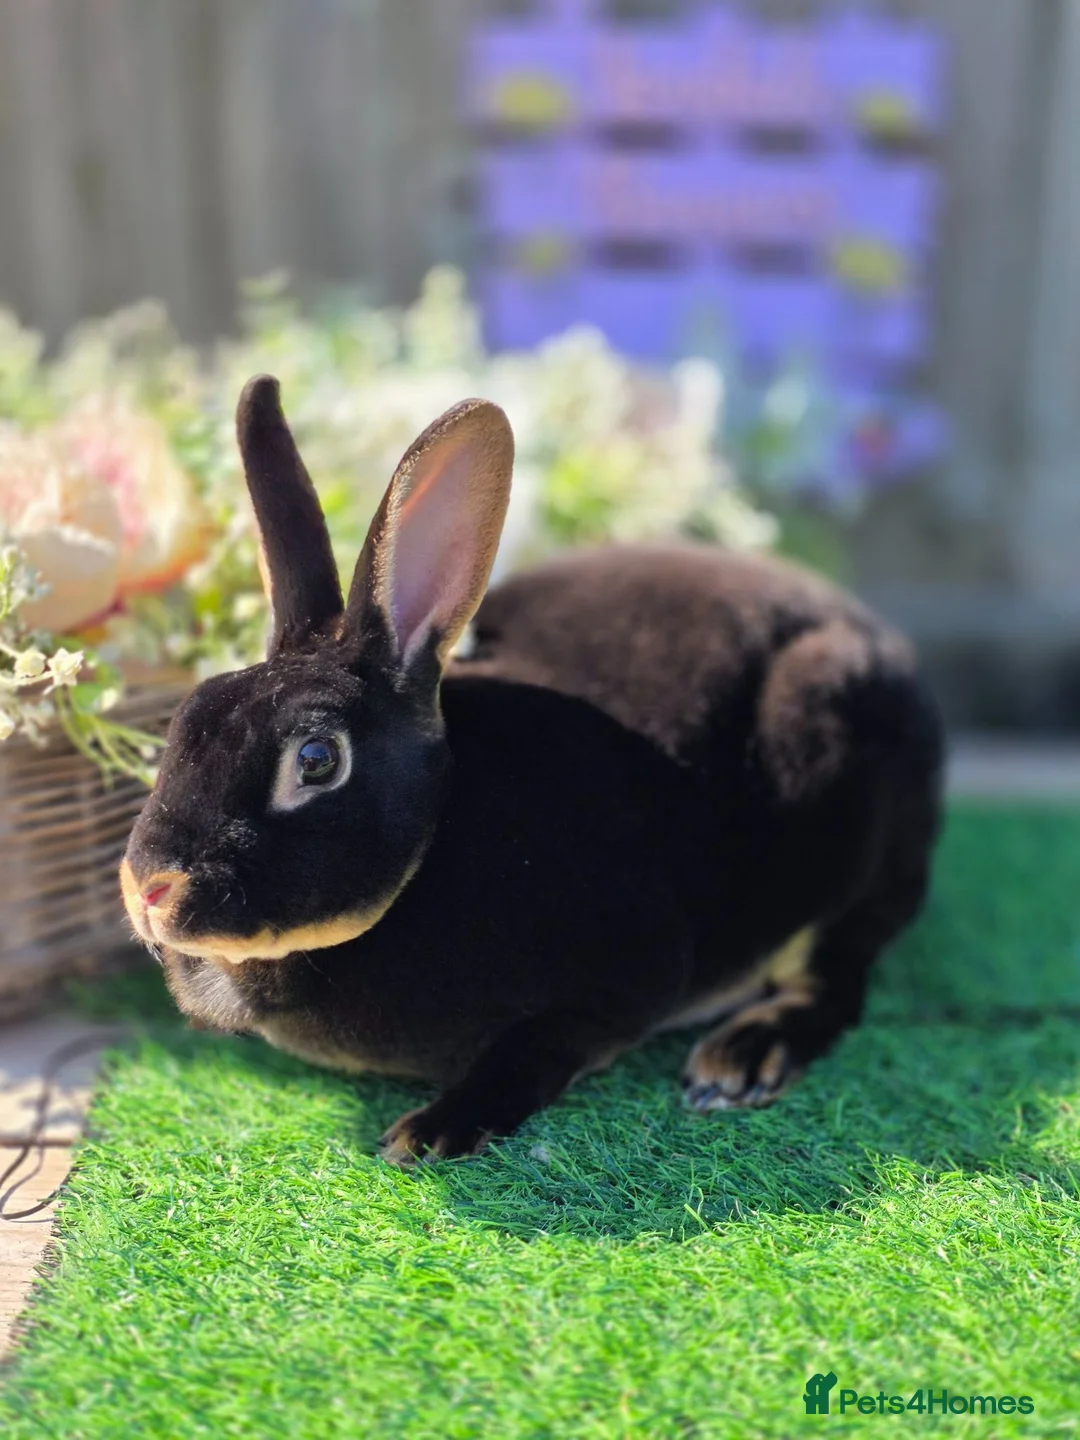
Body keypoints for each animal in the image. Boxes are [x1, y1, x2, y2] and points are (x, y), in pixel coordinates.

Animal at [121, 375, 943, 1165]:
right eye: (183, 721)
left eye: (317, 761)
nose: (150, 890)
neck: (435, 843)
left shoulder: (624, 975)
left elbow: (538, 1050)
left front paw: (434, 1131)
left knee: (835, 973)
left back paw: (739, 1061)